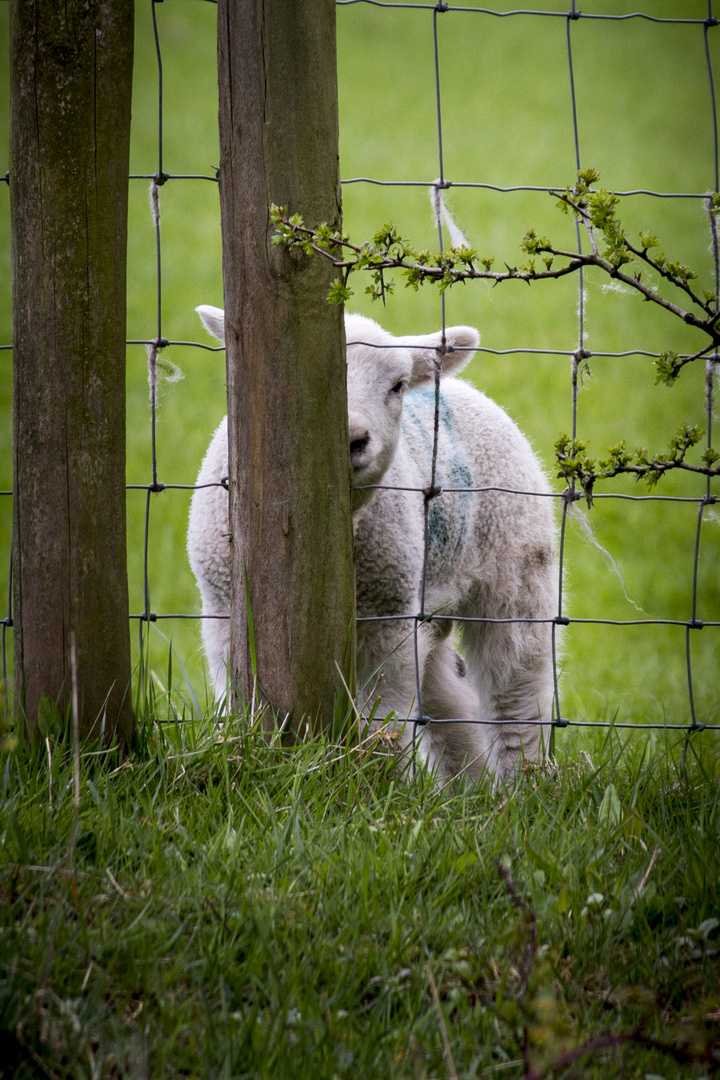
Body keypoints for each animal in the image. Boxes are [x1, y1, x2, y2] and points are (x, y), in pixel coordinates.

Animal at [185, 308, 557, 781]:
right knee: (449, 703)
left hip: (516, 574)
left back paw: (519, 785)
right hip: (425, 603)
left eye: (397, 385)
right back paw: (470, 791)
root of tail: (463, 389)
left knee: (515, 699)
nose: (353, 439)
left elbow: (384, 723)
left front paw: (378, 782)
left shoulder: (387, 619)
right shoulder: (223, 608)